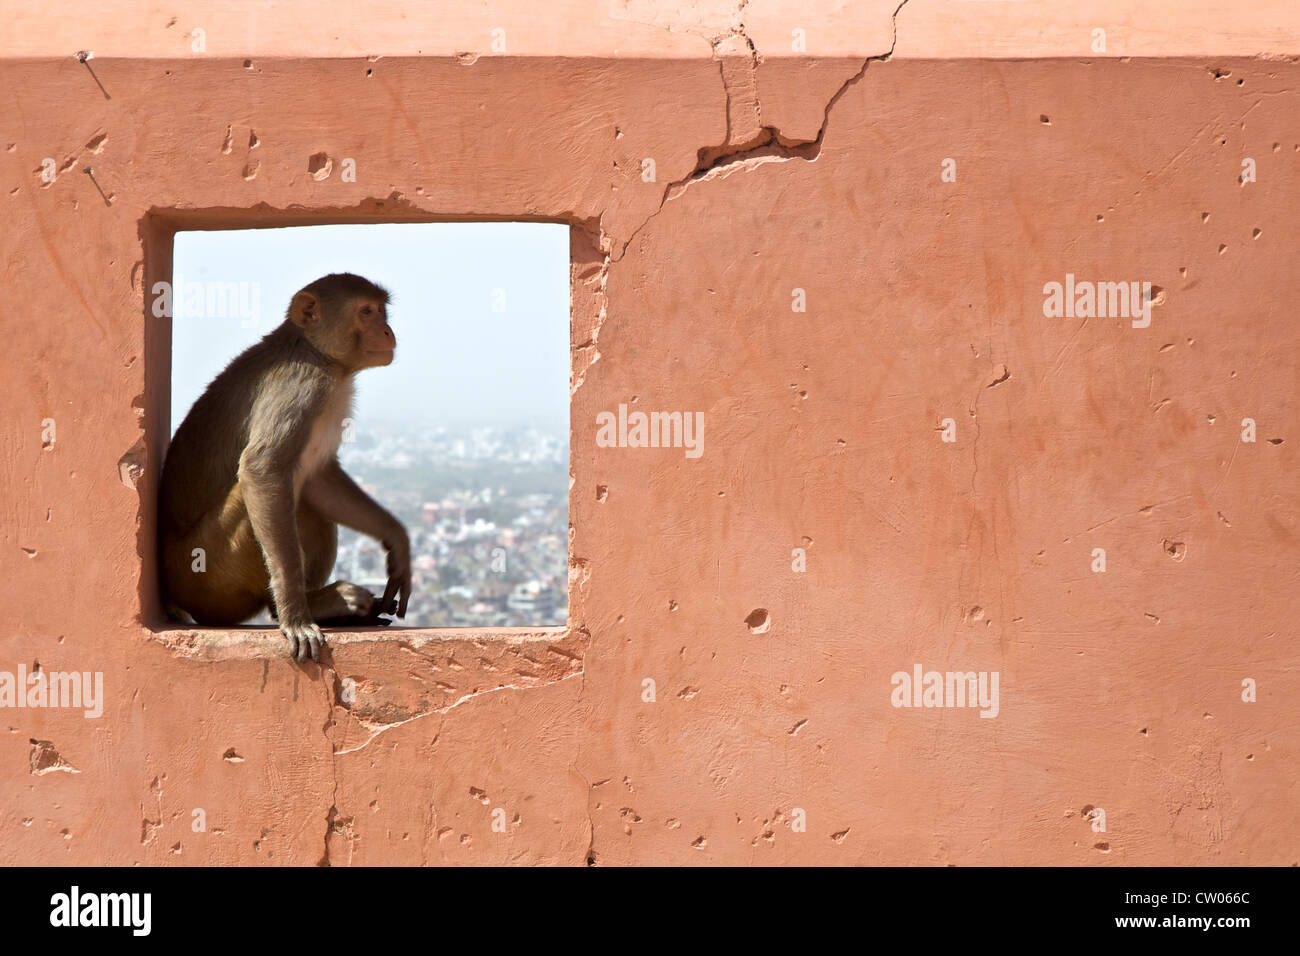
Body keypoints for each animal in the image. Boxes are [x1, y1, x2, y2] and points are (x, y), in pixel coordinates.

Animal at [159, 277, 410, 660]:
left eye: (381, 309)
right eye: (366, 311)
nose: (386, 329)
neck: (317, 354)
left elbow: (320, 479)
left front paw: (398, 542)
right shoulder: (302, 387)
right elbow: (263, 469)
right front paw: (295, 616)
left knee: (305, 496)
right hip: (207, 572)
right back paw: (305, 606)